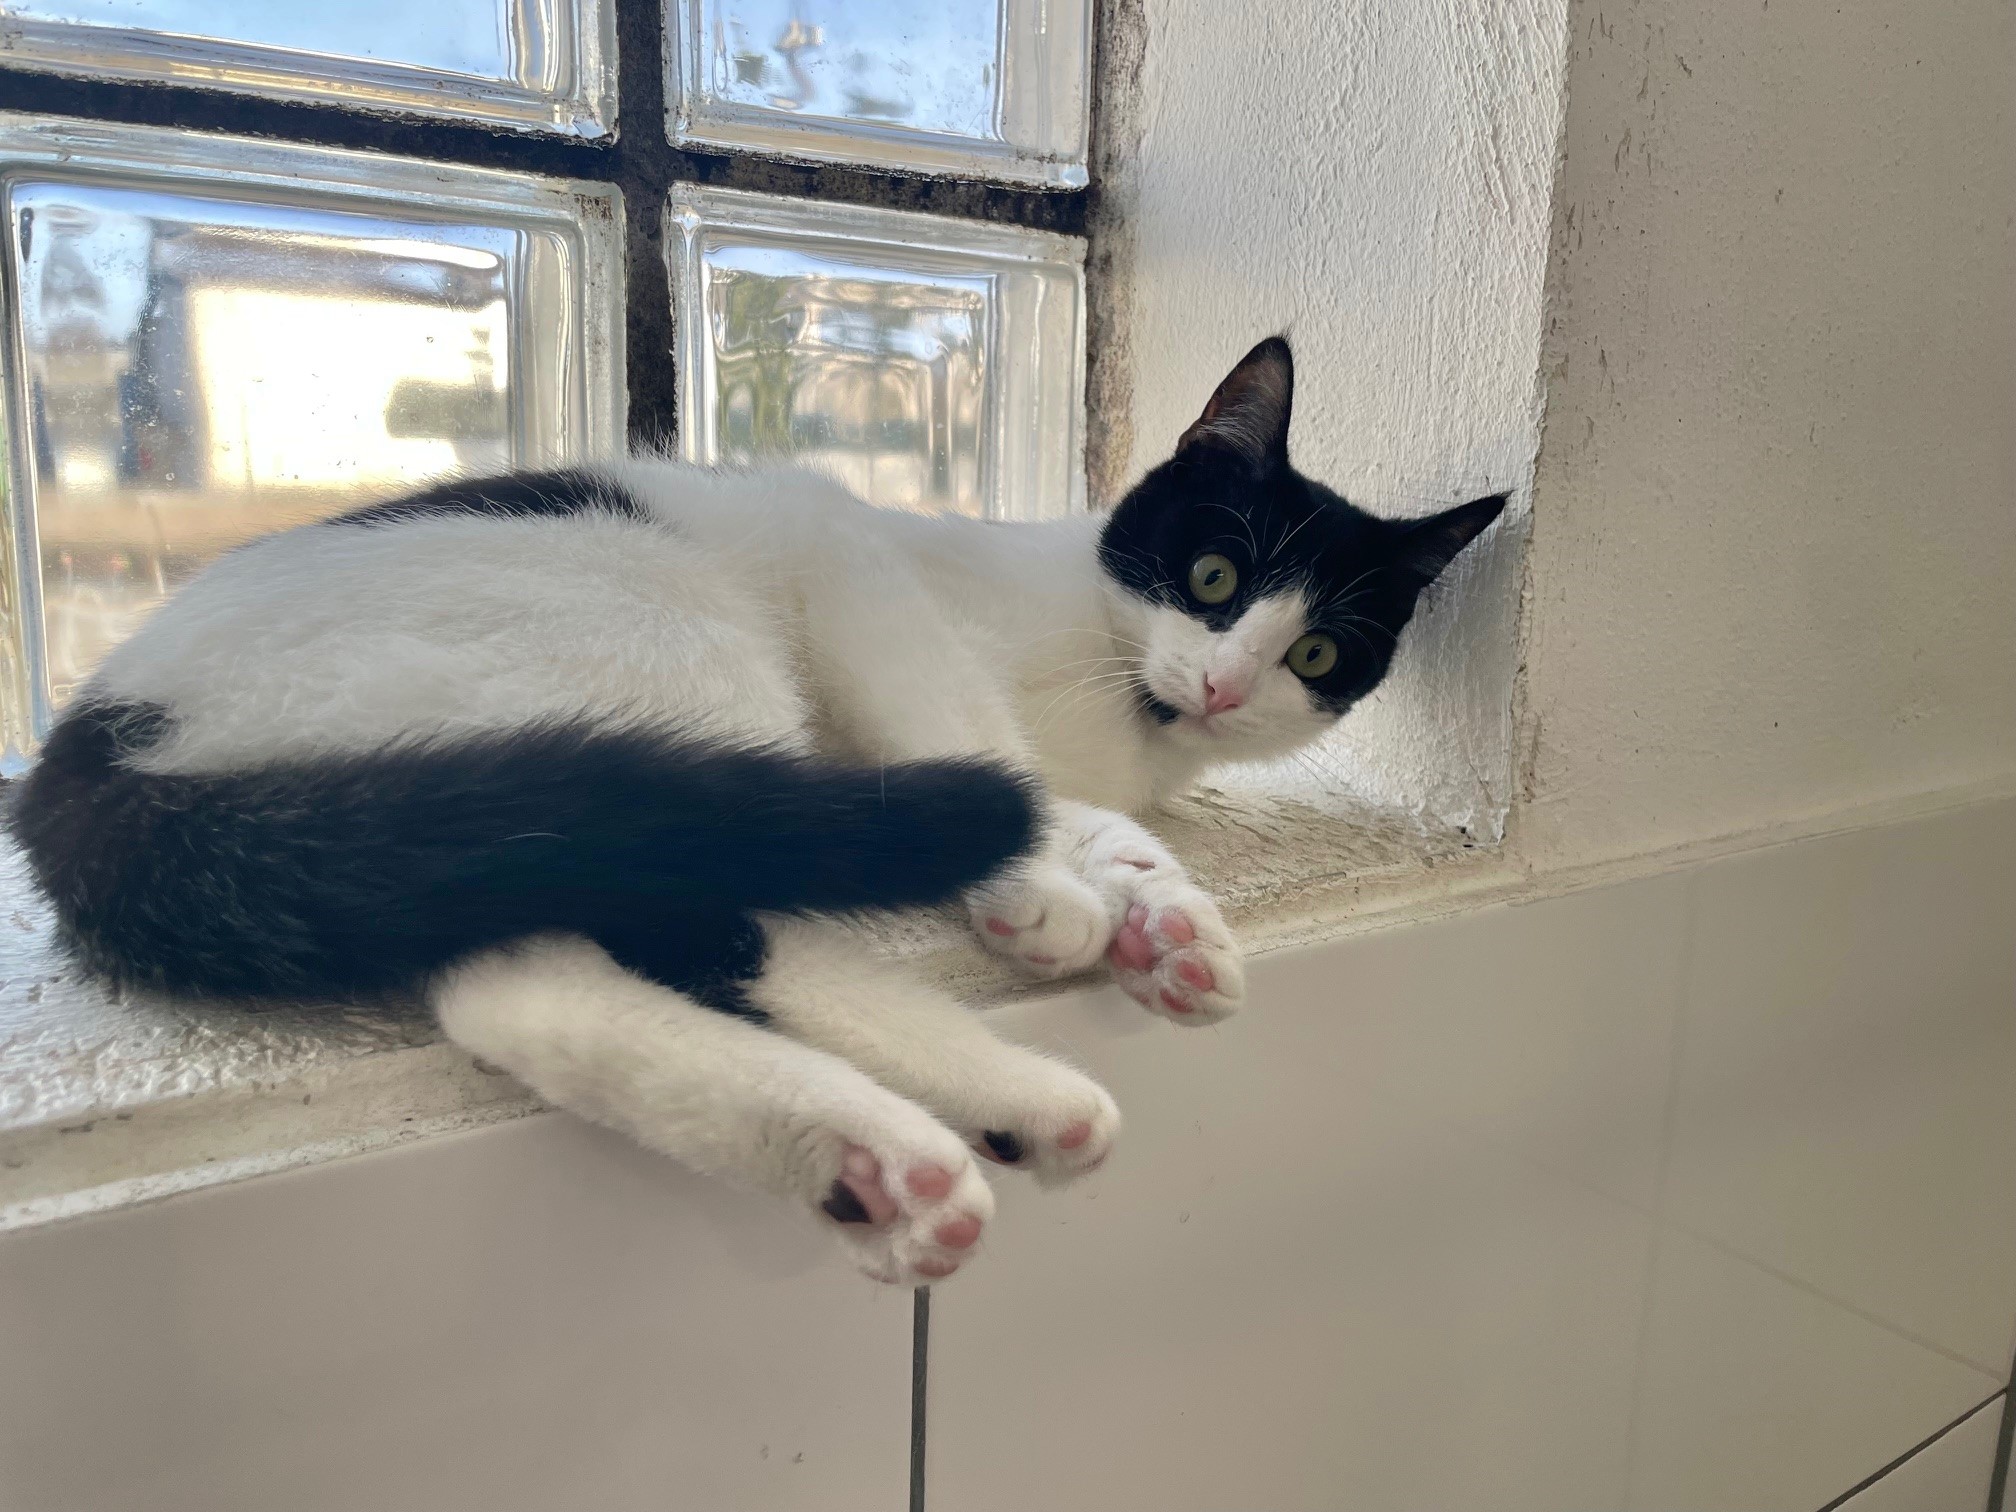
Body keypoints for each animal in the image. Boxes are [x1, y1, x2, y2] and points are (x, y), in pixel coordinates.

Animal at [8, 336, 1503, 1286]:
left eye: (1320, 654)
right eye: (1210, 574)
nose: (1224, 681)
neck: (1114, 703)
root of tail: (90, 742)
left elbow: (1100, 822)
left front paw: (1167, 919)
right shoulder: (842, 554)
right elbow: (978, 746)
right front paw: (1058, 894)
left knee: (534, 978)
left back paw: (892, 1153)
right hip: (655, 647)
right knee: (689, 922)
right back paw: (952, 1111)